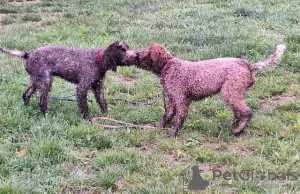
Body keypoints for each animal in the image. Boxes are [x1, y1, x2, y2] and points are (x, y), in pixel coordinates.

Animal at [135, 43, 286, 137]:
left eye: (145, 53)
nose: (135, 55)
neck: (168, 65)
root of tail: (248, 64)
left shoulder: (181, 100)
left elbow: (179, 119)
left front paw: (173, 133)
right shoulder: (172, 99)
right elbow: (167, 115)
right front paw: (159, 126)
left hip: (229, 92)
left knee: (247, 112)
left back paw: (238, 130)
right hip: (232, 93)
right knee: (238, 112)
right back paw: (232, 124)